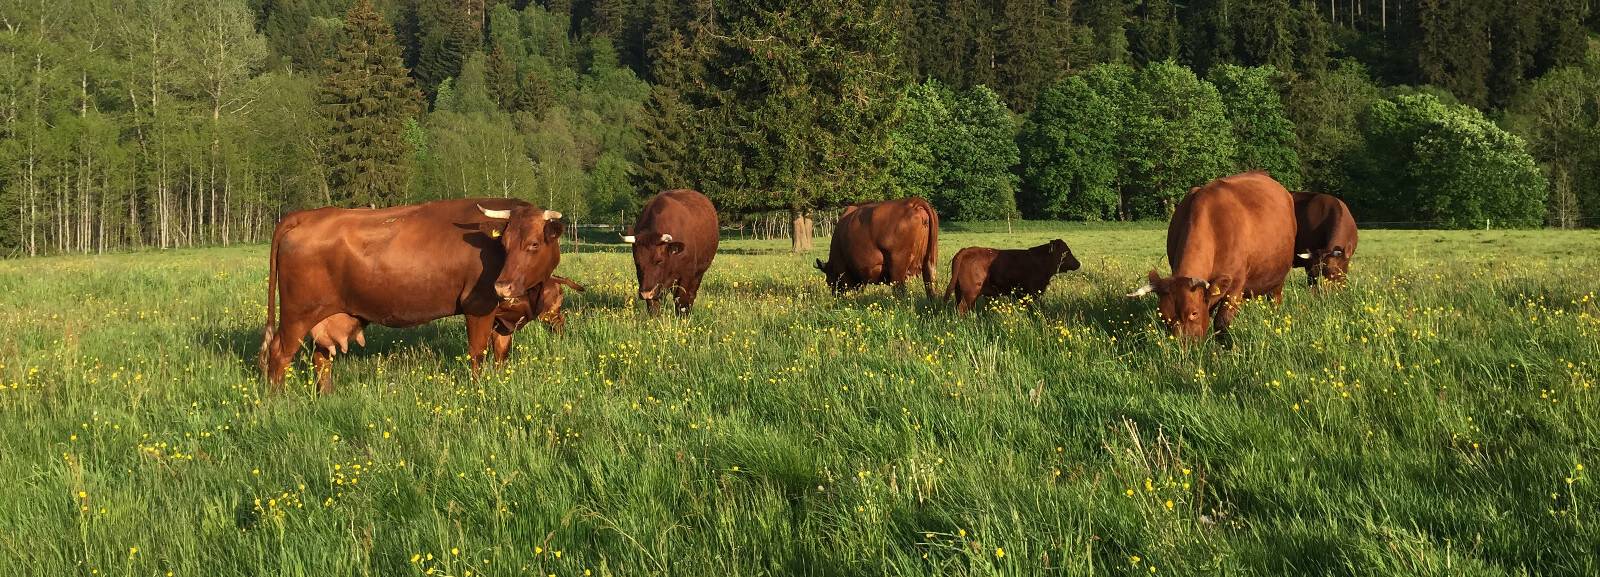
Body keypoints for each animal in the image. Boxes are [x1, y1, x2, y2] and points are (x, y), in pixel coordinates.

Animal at [259, 198, 566, 391]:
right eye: (504, 244)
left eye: (533, 244)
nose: (502, 287)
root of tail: (308, 215)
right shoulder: (479, 306)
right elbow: (477, 354)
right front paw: (478, 390)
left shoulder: (502, 318)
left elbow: (502, 354)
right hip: (297, 315)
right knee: (278, 354)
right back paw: (278, 401)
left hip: (327, 316)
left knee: (321, 358)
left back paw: (327, 396)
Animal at [940, 238, 1081, 314]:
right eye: (1066, 252)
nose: (1078, 263)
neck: (1040, 261)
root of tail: (966, 250)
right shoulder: (1031, 293)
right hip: (971, 292)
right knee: (962, 308)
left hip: (960, 291)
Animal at [1126, 171, 1299, 342]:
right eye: (1164, 316)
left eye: (1194, 313)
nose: (1184, 346)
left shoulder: (1236, 285)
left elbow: (1222, 322)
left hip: (1278, 280)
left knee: (1275, 300)